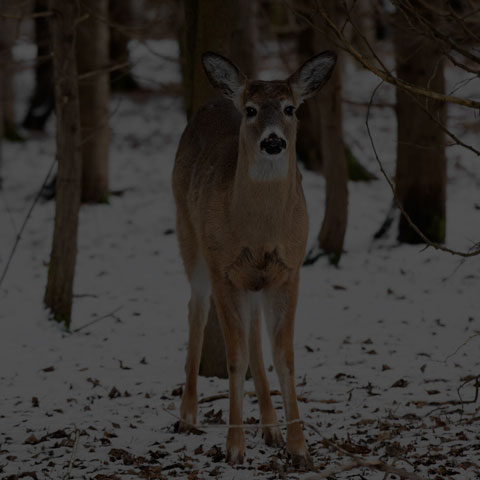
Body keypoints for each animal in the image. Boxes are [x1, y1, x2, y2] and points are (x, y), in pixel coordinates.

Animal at [173, 51, 338, 464]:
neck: (259, 232)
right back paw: (187, 415)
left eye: (290, 108)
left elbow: (283, 356)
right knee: (196, 310)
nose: (274, 140)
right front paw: (234, 447)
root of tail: (214, 100)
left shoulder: (289, 270)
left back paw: (270, 428)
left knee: (253, 334)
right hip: (189, 235)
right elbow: (235, 358)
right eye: (250, 110)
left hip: (254, 282)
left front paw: (298, 446)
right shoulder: (224, 268)